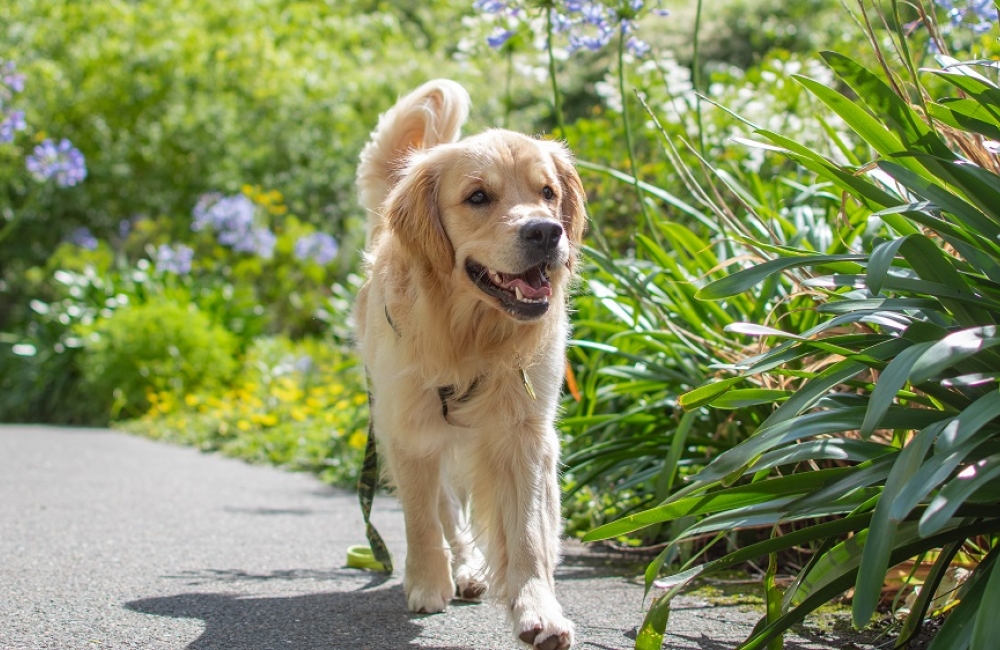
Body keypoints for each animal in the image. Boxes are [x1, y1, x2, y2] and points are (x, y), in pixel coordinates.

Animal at [356, 77, 584, 648]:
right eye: (477, 197)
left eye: (548, 192)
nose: (546, 232)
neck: (472, 335)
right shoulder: (409, 428)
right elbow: (421, 518)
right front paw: (426, 582)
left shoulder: (525, 433)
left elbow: (528, 535)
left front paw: (539, 611)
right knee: (445, 509)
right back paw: (458, 568)